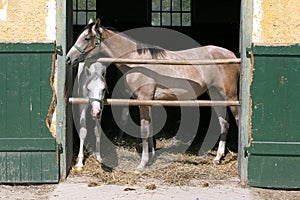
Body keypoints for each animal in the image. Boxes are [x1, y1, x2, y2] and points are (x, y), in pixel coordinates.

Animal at [65, 18, 239, 170]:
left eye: (87, 38)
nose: (68, 58)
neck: (137, 61)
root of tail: (231, 55)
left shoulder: (143, 101)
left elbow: (144, 131)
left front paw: (142, 164)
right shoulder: (149, 102)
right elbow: (150, 131)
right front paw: (151, 158)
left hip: (231, 98)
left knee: (237, 121)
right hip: (216, 96)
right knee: (224, 123)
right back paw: (218, 158)